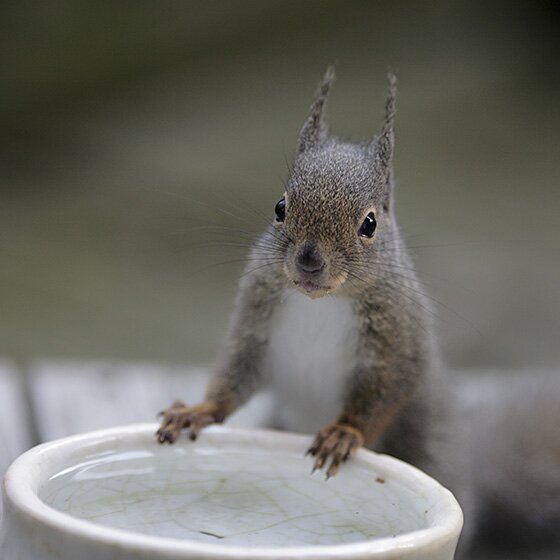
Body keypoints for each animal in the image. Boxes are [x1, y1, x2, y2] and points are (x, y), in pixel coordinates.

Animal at [154, 66, 560, 556]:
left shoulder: (394, 342)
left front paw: (344, 433)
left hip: (425, 444)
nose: (309, 261)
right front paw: (197, 411)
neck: (320, 303)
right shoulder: (257, 320)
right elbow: (236, 373)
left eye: (369, 224)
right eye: (280, 207)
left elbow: (384, 392)